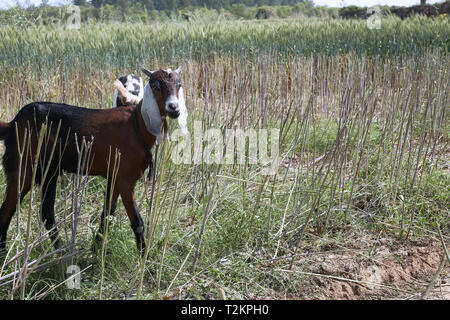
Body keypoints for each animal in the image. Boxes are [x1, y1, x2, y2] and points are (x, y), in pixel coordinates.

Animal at [0, 67, 187, 255]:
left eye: (179, 84)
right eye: (155, 85)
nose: (174, 108)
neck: (137, 124)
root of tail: (12, 123)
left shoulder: (115, 177)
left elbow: (107, 213)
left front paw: (95, 249)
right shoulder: (125, 179)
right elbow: (137, 223)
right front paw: (144, 259)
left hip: (49, 171)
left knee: (46, 214)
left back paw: (60, 252)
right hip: (22, 167)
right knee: (7, 210)